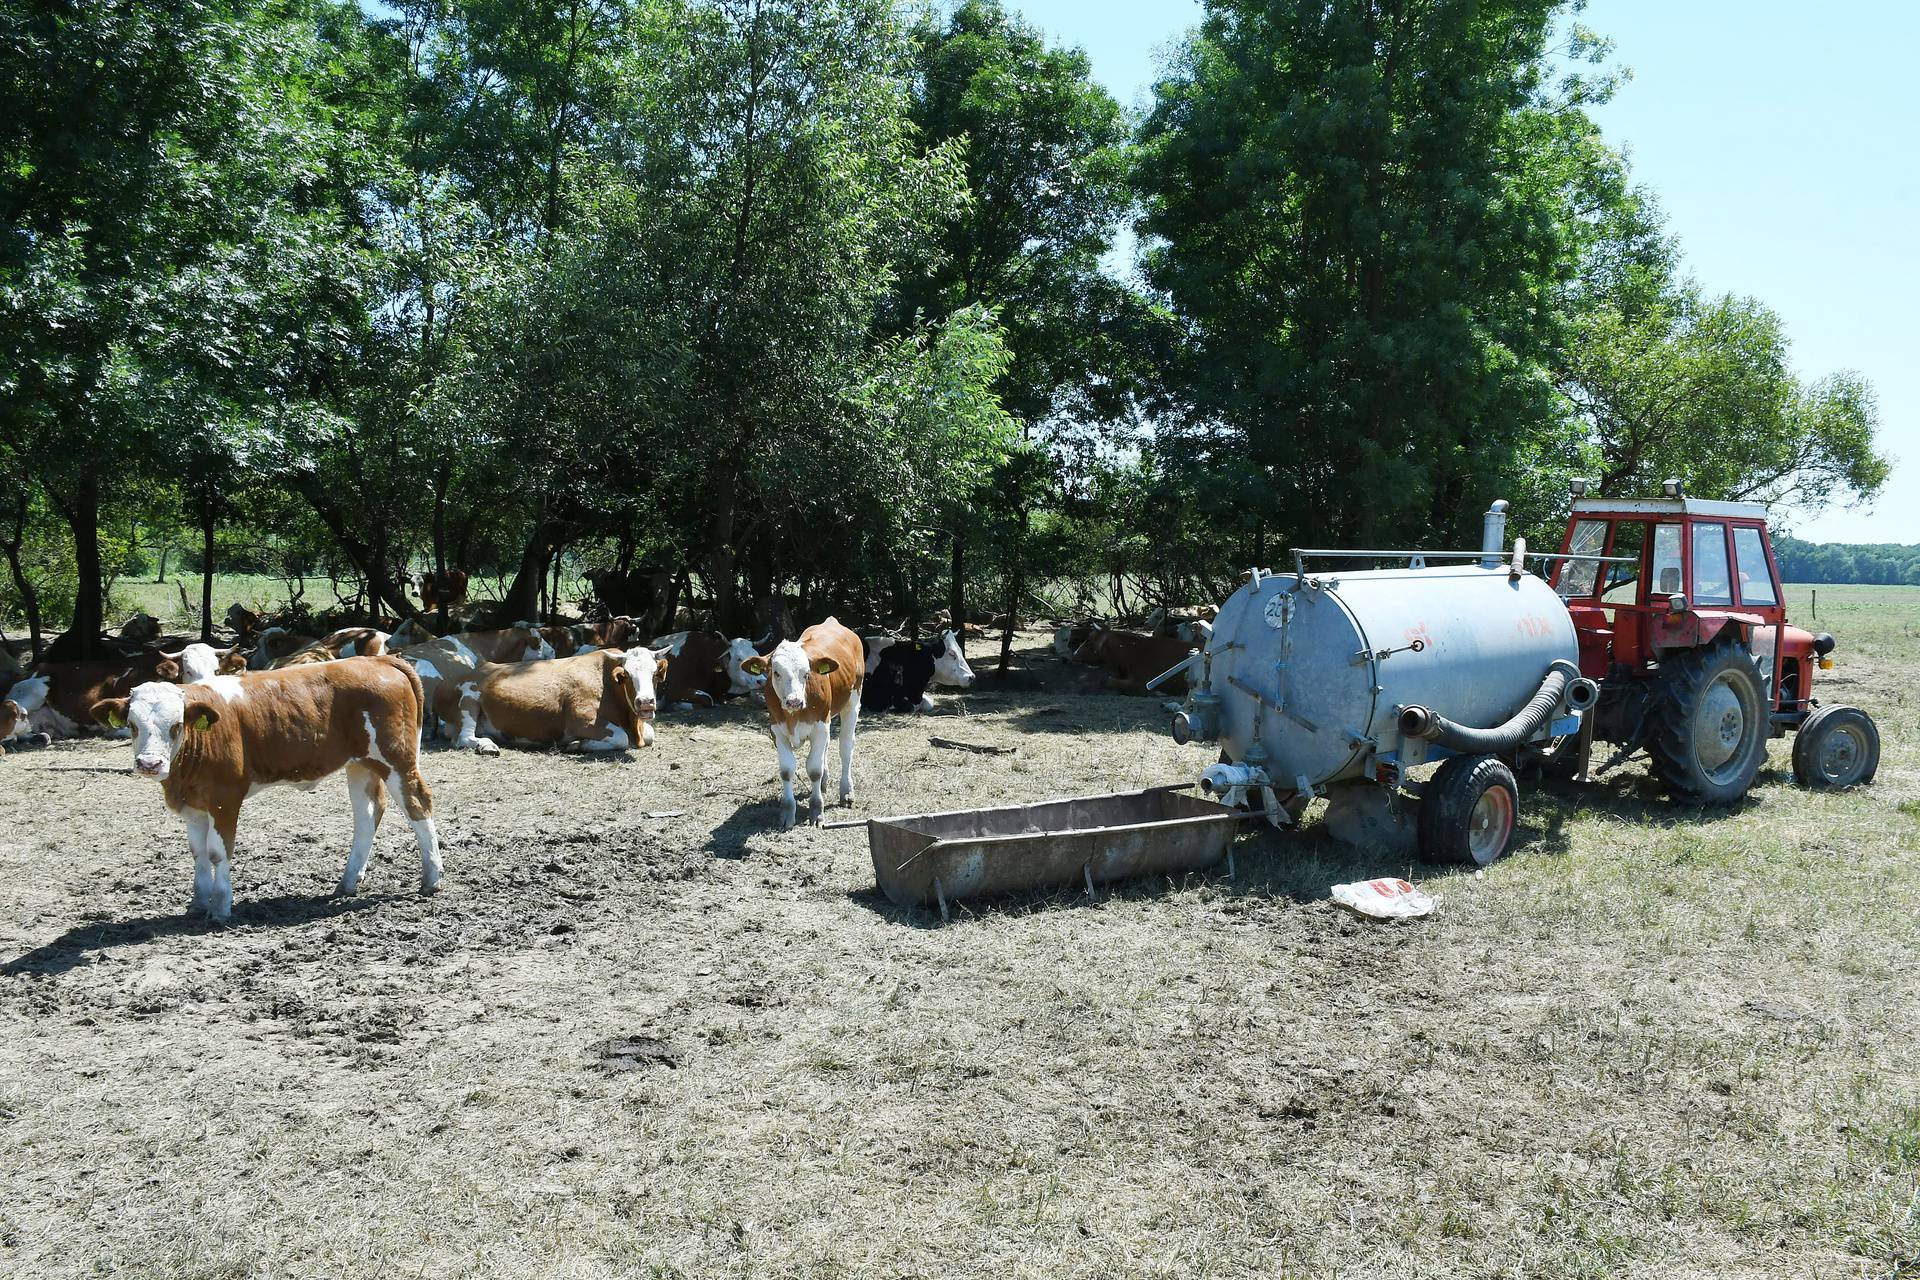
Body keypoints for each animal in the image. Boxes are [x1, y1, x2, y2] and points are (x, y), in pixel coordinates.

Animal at [90, 660, 441, 921]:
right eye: (133, 725)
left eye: (176, 726)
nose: (149, 764)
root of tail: (378, 661)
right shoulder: (192, 804)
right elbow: (198, 852)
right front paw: (198, 904)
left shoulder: (225, 798)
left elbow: (218, 852)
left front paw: (220, 907)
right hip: (360, 764)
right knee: (368, 814)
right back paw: (348, 882)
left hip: (397, 760)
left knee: (418, 804)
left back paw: (432, 878)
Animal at [741, 617, 864, 832]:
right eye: (776, 673)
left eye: (806, 673)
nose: (794, 701)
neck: (794, 715)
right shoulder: (777, 730)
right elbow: (786, 771)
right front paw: (787, 813)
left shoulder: (820, 726)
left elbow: (814, 770)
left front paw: (817, 812)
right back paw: (824, 783)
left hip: (853, 700)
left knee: (846, 747)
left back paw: (847, 792)